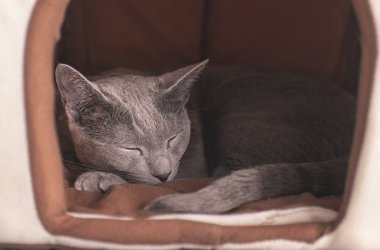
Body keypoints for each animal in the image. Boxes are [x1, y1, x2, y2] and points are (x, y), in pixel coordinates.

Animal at [55, 60, 354, 213]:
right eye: (131, 149)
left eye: (173, 139)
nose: (163, 172)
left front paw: (98, 177)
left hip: (239, 103)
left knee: (218, 177)